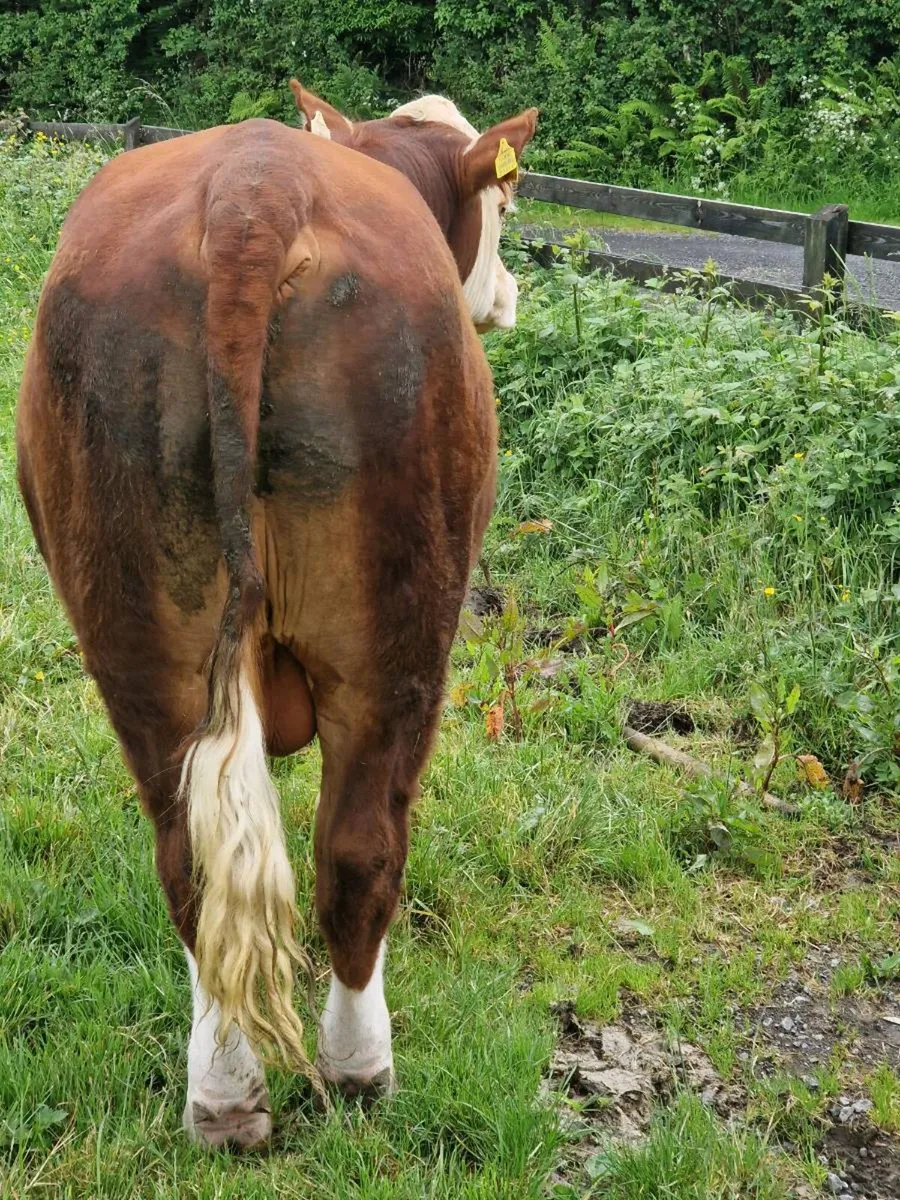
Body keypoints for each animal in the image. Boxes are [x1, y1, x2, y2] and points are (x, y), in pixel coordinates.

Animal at [16, 98, 536, 1150]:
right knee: (361, 848)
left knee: (190, 861)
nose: (506, 294)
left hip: (141, 633)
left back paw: (222, 1096)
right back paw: (359, 1071)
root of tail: (254, 196)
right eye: (506, 202)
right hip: (403, 636)